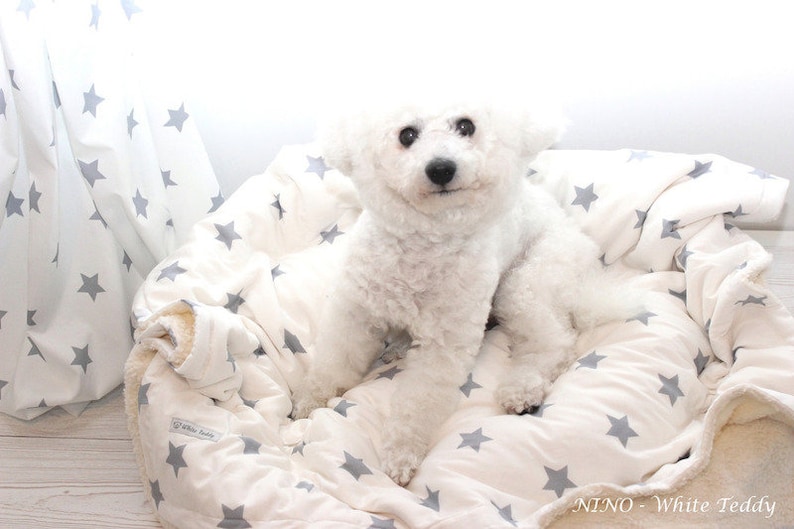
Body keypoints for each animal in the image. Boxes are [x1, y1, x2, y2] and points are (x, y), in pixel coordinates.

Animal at [290, 94, 632, 482]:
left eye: (466, 126)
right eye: (407, 135)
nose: (441, 168)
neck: (424, 242)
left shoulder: (444, 345)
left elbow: (417, 402)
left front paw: (401, 454)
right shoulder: (355, 313)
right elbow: (334, 361)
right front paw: (309, 400)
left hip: (527, 282)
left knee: (555, 342)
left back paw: (522, 388)